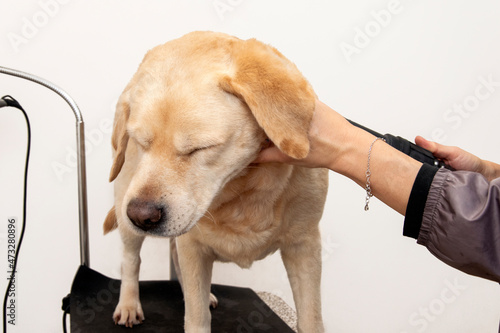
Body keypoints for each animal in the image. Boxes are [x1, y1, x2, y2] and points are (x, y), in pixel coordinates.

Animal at [102, 31, 328, 332]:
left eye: (199, 148)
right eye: (140, 142)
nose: (142, 216)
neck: (243, 190)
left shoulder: (304, 246)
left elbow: (311, 318)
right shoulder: (192, 246)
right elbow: (196, 319)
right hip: (126, 210)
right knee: (131, 261)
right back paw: (128, 304)